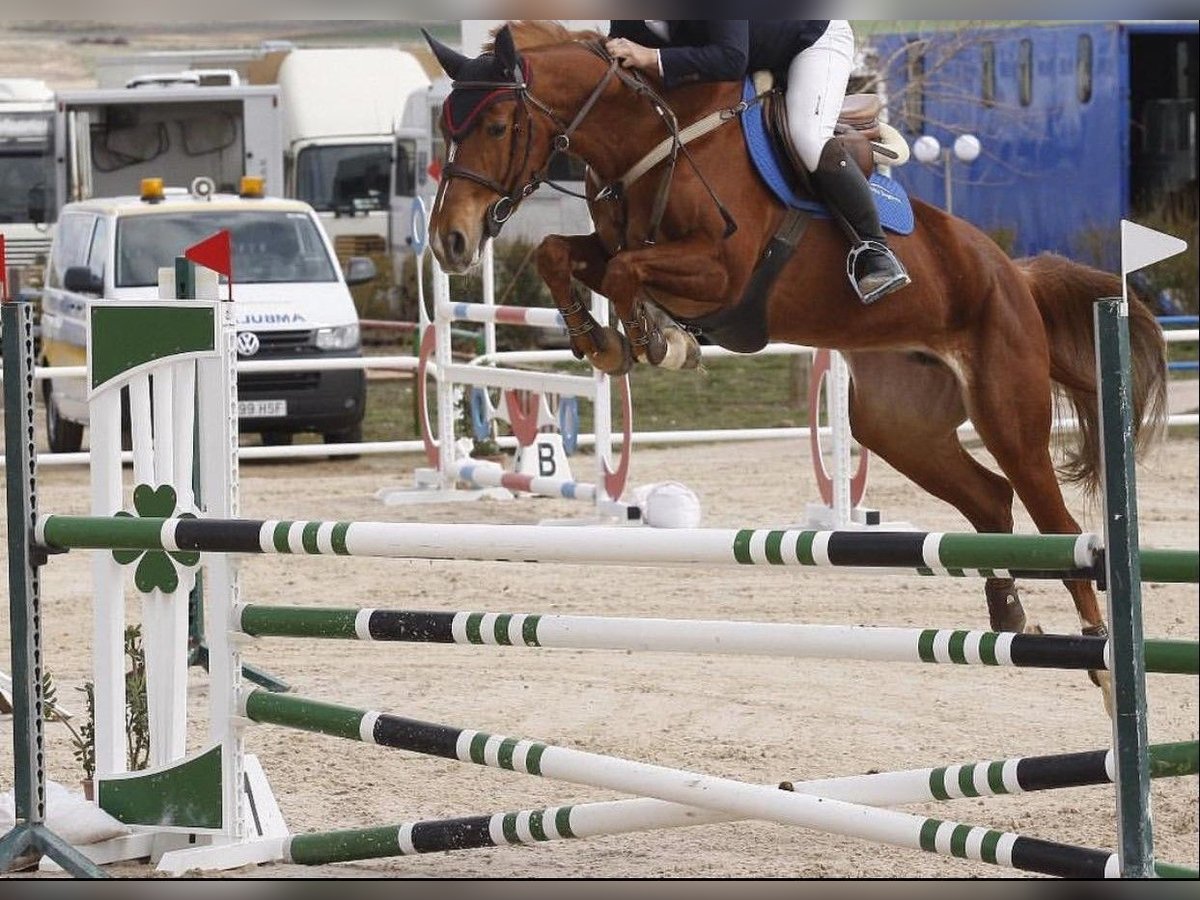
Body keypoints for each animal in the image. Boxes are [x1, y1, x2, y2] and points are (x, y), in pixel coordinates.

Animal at [422, 22, 1169, 711]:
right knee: (989, 497)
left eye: (496, 124)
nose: (449, 242)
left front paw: (657, 338)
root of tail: (1014, 272)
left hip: (1008, 411)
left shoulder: (721, 271)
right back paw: (1009, 615)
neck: (650, 138)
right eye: (445, 130)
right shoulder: (610, 247)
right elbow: (559, 251)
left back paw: (1103, 665)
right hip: (898, 424)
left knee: (1061, 529)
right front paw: (602, 339)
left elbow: (628, 272)